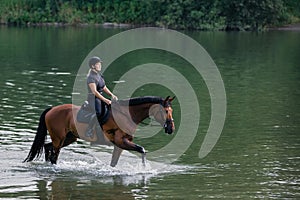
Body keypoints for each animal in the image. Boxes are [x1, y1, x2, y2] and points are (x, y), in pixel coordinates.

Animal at [24, 96, 176, 166]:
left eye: (171, 110)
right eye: (165, 111)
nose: (171, 128)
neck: (127, 115)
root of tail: (52, 109)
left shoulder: (120, 144)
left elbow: (114, 162)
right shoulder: (120, 141)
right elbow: (142, 150)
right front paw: (144, 169)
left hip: (68, 138)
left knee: (47, 146)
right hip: (59, 138)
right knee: (54, 155)